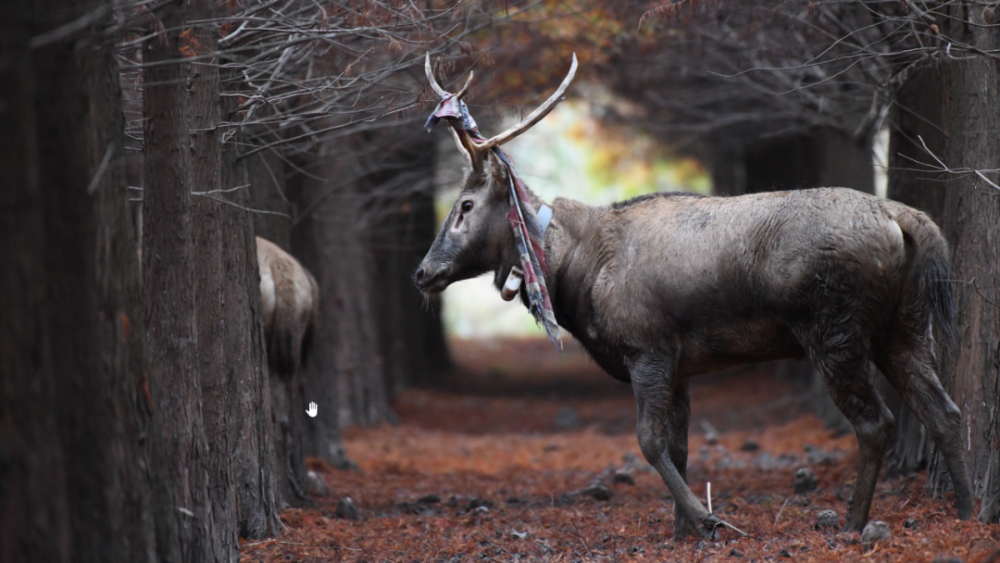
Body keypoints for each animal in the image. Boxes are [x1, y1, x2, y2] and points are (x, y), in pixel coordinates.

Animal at [416, 55, 976, 540]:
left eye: (465, 205)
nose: (423, 272)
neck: (576, 276)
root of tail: (904, 218)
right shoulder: (681, 362)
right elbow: (680, 446)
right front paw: (682, 531)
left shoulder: (646, 346)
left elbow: (649, 442)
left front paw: (708, 521)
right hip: (904, 325)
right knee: (946, 411)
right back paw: (968, 512)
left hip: (835, 328)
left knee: (877, 423)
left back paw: (853, 524)